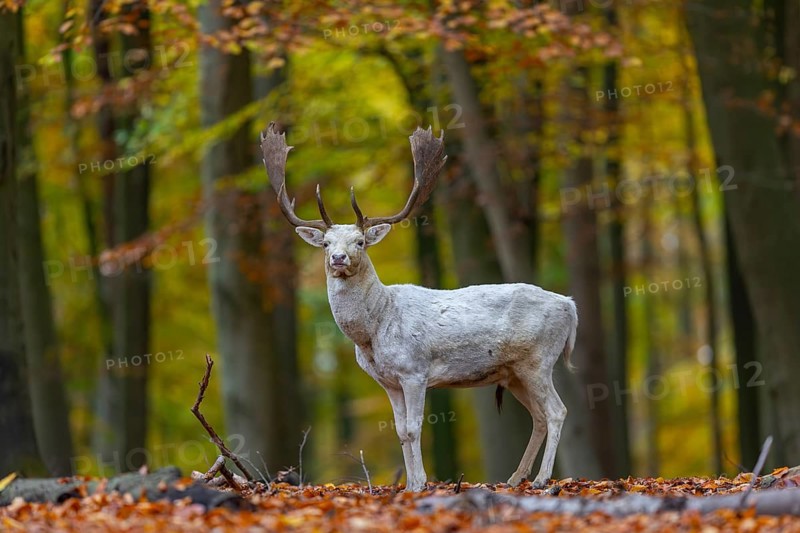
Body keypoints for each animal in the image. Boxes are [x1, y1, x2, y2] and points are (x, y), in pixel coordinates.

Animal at [260, 122, 577, 492]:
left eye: (360, 242)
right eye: (325, 243)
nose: (339, 258)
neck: (373, 331)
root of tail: (570, 306)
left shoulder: (415, 371)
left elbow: (413, 429)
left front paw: (420, 485)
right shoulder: (388, 381)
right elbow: (400, 432)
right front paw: (411, 484)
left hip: (538, 359)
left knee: (556, 411)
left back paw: (541, 479)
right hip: (513, 373)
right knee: (538, 416)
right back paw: (515, 478)